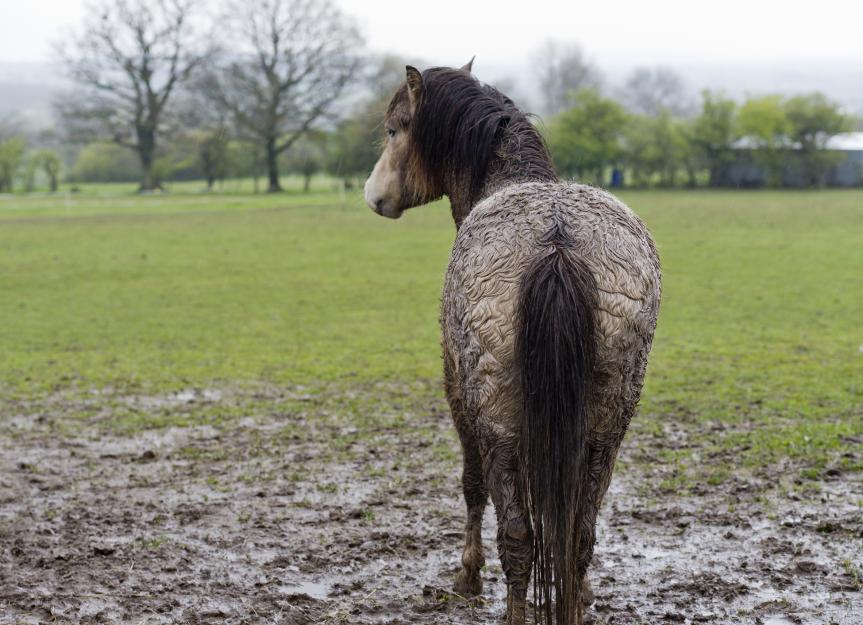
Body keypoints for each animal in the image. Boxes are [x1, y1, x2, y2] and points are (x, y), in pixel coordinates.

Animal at [364, 60, 661, 625]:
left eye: (394, 129)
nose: (373, 194)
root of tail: (557, 244)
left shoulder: (458, 392)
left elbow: (472, 485)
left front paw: (468, 574)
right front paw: (584, 592)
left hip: (497, 419)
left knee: (519, 535)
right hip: (605, 428)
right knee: (579, 532)